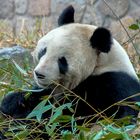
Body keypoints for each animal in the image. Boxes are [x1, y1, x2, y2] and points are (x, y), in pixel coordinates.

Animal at [0, 5, 140, 132]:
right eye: (43, 51)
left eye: (62, 61)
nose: (39, 74)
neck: (100, 65)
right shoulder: (47, 91)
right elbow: (32, 99)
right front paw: (15, 101)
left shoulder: (114, 83)